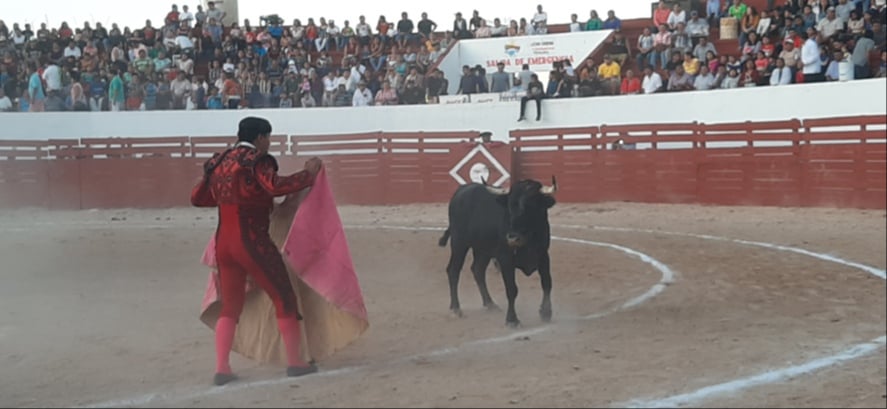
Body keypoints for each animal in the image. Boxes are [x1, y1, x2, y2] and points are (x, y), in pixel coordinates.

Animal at [438, 177, 556, 326]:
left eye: (532, 205)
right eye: (509, 206)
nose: (512, 237)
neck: (529, 240)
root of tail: (461, 190)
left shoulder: (543, 256)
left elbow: (547, 283)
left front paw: (546, 313)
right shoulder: (505, 259)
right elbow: (512, 289)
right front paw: (512, 320)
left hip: (483, 251)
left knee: (477, 270)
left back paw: (490, 304)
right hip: (459, 243)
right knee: (453, 271)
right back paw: (455, 308)